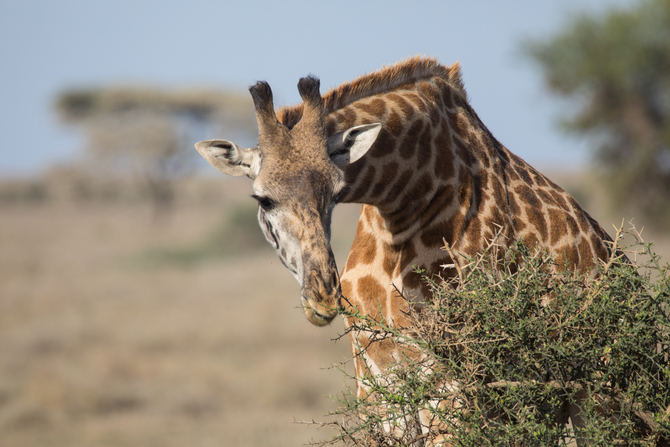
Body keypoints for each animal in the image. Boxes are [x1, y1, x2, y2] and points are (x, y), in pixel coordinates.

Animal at [193, 57, 616, 444]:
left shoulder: (452, 386)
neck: (401, 205)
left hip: (596, 396)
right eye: (263, 199)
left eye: (336, 191)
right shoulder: (376, 382)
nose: (324, 298)